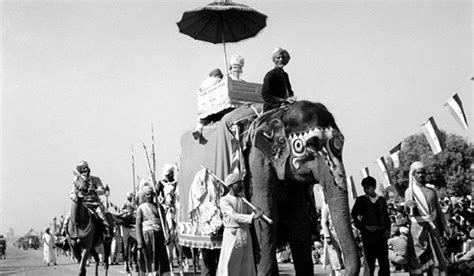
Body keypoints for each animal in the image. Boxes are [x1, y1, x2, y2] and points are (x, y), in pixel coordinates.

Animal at [241, 101, 360, 276]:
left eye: (342, 143)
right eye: (312, 144)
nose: (343, 270)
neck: (279, 115)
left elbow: (298, 219)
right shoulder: (256, 162)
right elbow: (266, 213)